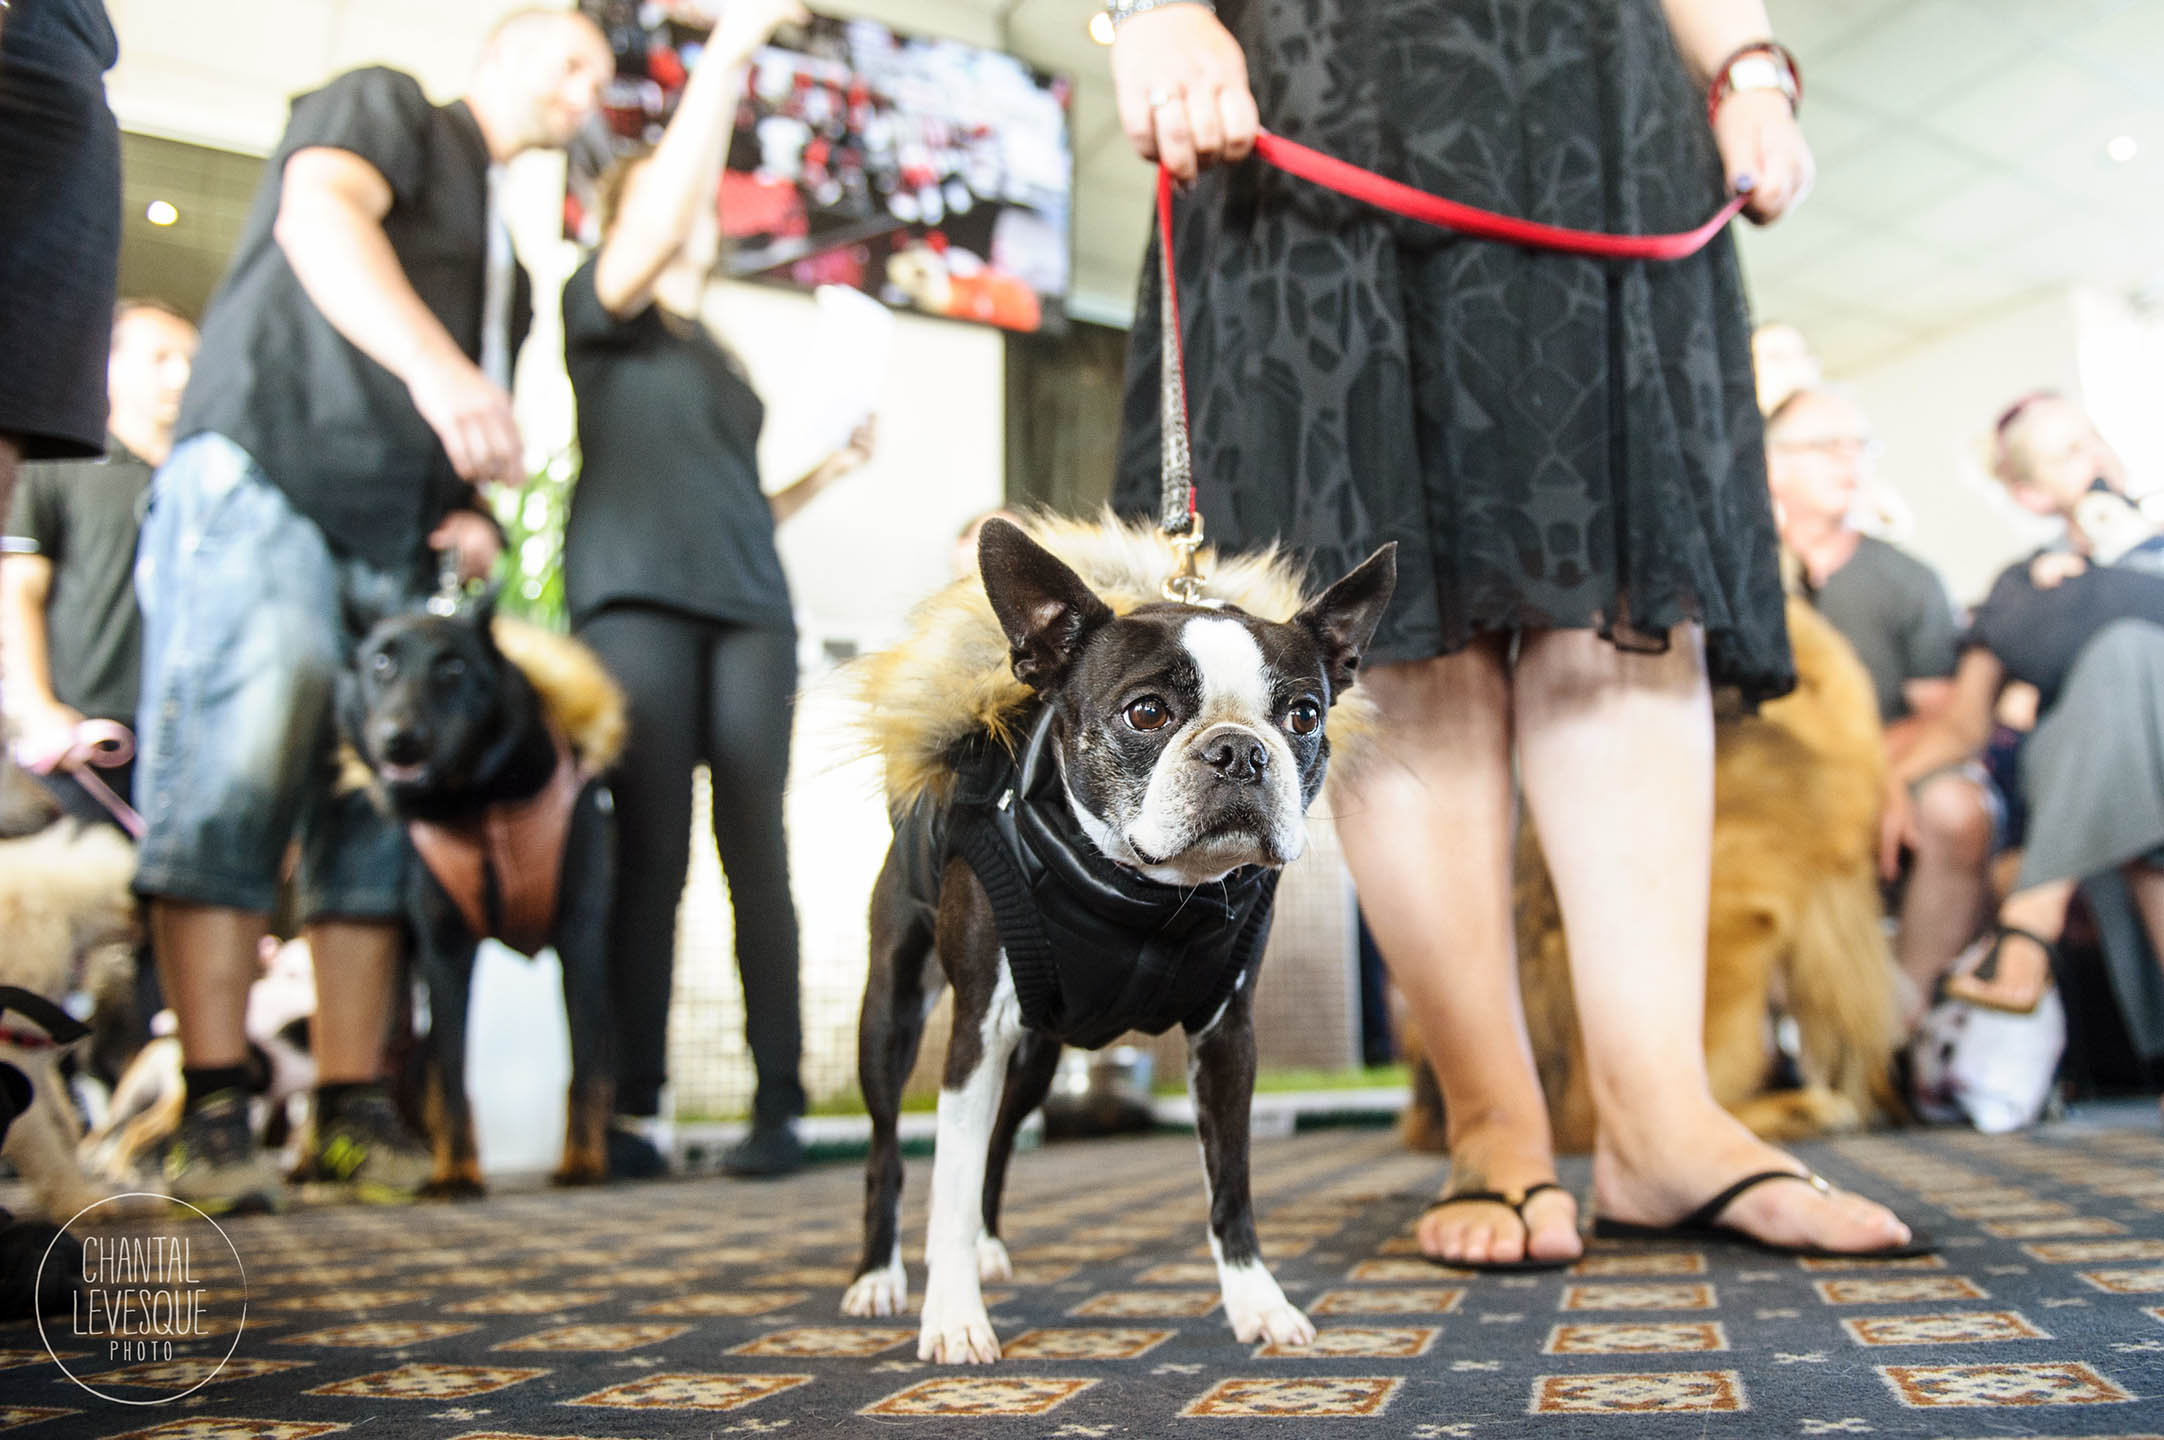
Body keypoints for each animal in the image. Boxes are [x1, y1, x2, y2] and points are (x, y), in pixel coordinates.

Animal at [337, 580, 623, 1195]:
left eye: (452, 667)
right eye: (381, 663)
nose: (399, 740)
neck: (480, 802)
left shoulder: (580, 935)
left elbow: (586, 1066)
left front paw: (583, 1162)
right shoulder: (445, 951)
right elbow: (452, 1072)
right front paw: (456, 1173)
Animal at [835, 517, 1393, 1359]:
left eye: (1303, 716)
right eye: (1147, 713)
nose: (1239, 750)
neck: (1148, 900)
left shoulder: (1226, 1037)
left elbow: (1231, 1183)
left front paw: (1256, 1303)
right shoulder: (976, 1034)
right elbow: (948, 1188)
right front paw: (955, 1319)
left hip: (1037, 1055)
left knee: (999, 1139)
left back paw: (989, 1248)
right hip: (892, 1014)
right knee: (887, 1149)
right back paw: (877, 1277)